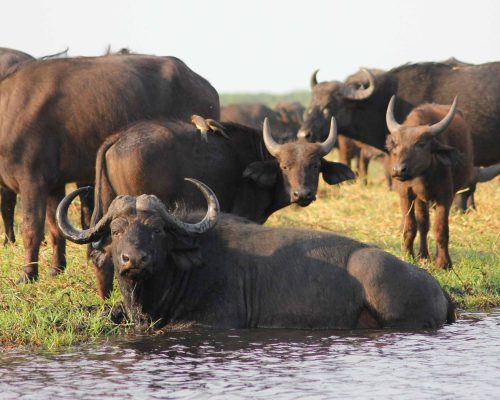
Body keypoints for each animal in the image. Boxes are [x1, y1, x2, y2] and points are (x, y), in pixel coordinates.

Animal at [0, 54, 219, 282]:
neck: (8, 110)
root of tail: (204, 84)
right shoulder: (54, 184)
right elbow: (55, 228)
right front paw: (56, 268)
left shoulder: (33, 181)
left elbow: (31, 227)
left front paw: (28, 274)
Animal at [386, 98, 472, 270]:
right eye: (397, 144)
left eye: (420, 144)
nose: (398, 170)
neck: (423, 175)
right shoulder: (405, 195)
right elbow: (411, 226)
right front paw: (408, 256)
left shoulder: (445, 196)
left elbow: (441, 228)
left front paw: (444, 263)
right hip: (420, 199)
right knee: (423, 224)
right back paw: (423, 255)